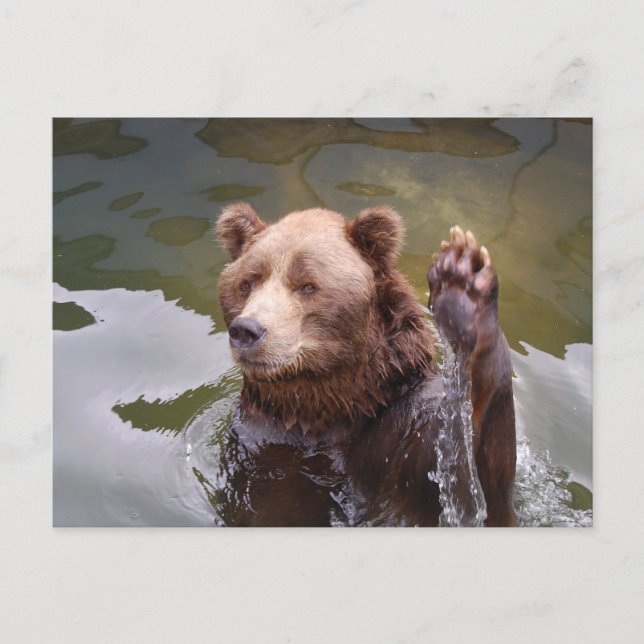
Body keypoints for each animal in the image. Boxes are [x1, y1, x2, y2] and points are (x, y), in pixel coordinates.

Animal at [214, 203, 516, 527]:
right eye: (248, 282)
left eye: (307, 286)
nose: (247, 330)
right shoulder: (256, 435)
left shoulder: (395, 432)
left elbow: (470, 487)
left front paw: (462, 284)